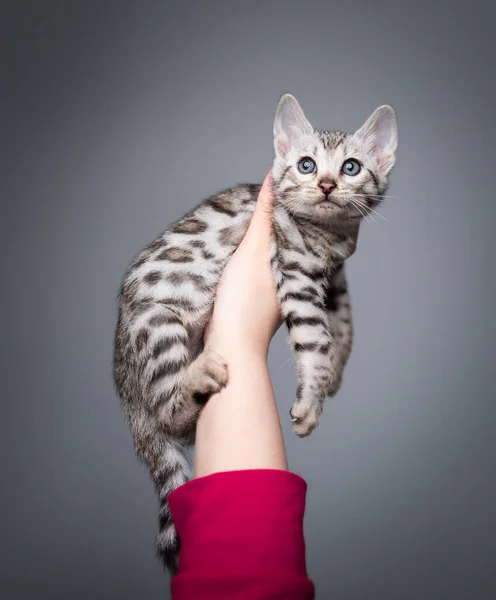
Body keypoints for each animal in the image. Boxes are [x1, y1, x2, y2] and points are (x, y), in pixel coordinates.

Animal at [113, 94, 400, 572]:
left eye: (352, 167)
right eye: (306, 165)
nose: (325, 184)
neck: (331, 235)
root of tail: (127, 398)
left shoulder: (333, 276)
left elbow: (344, 322)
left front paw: (335, 373)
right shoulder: (296, 273)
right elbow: (316, 339)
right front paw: (312, 401)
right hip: (157, 322)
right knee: (169, 412)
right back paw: (197, 376)